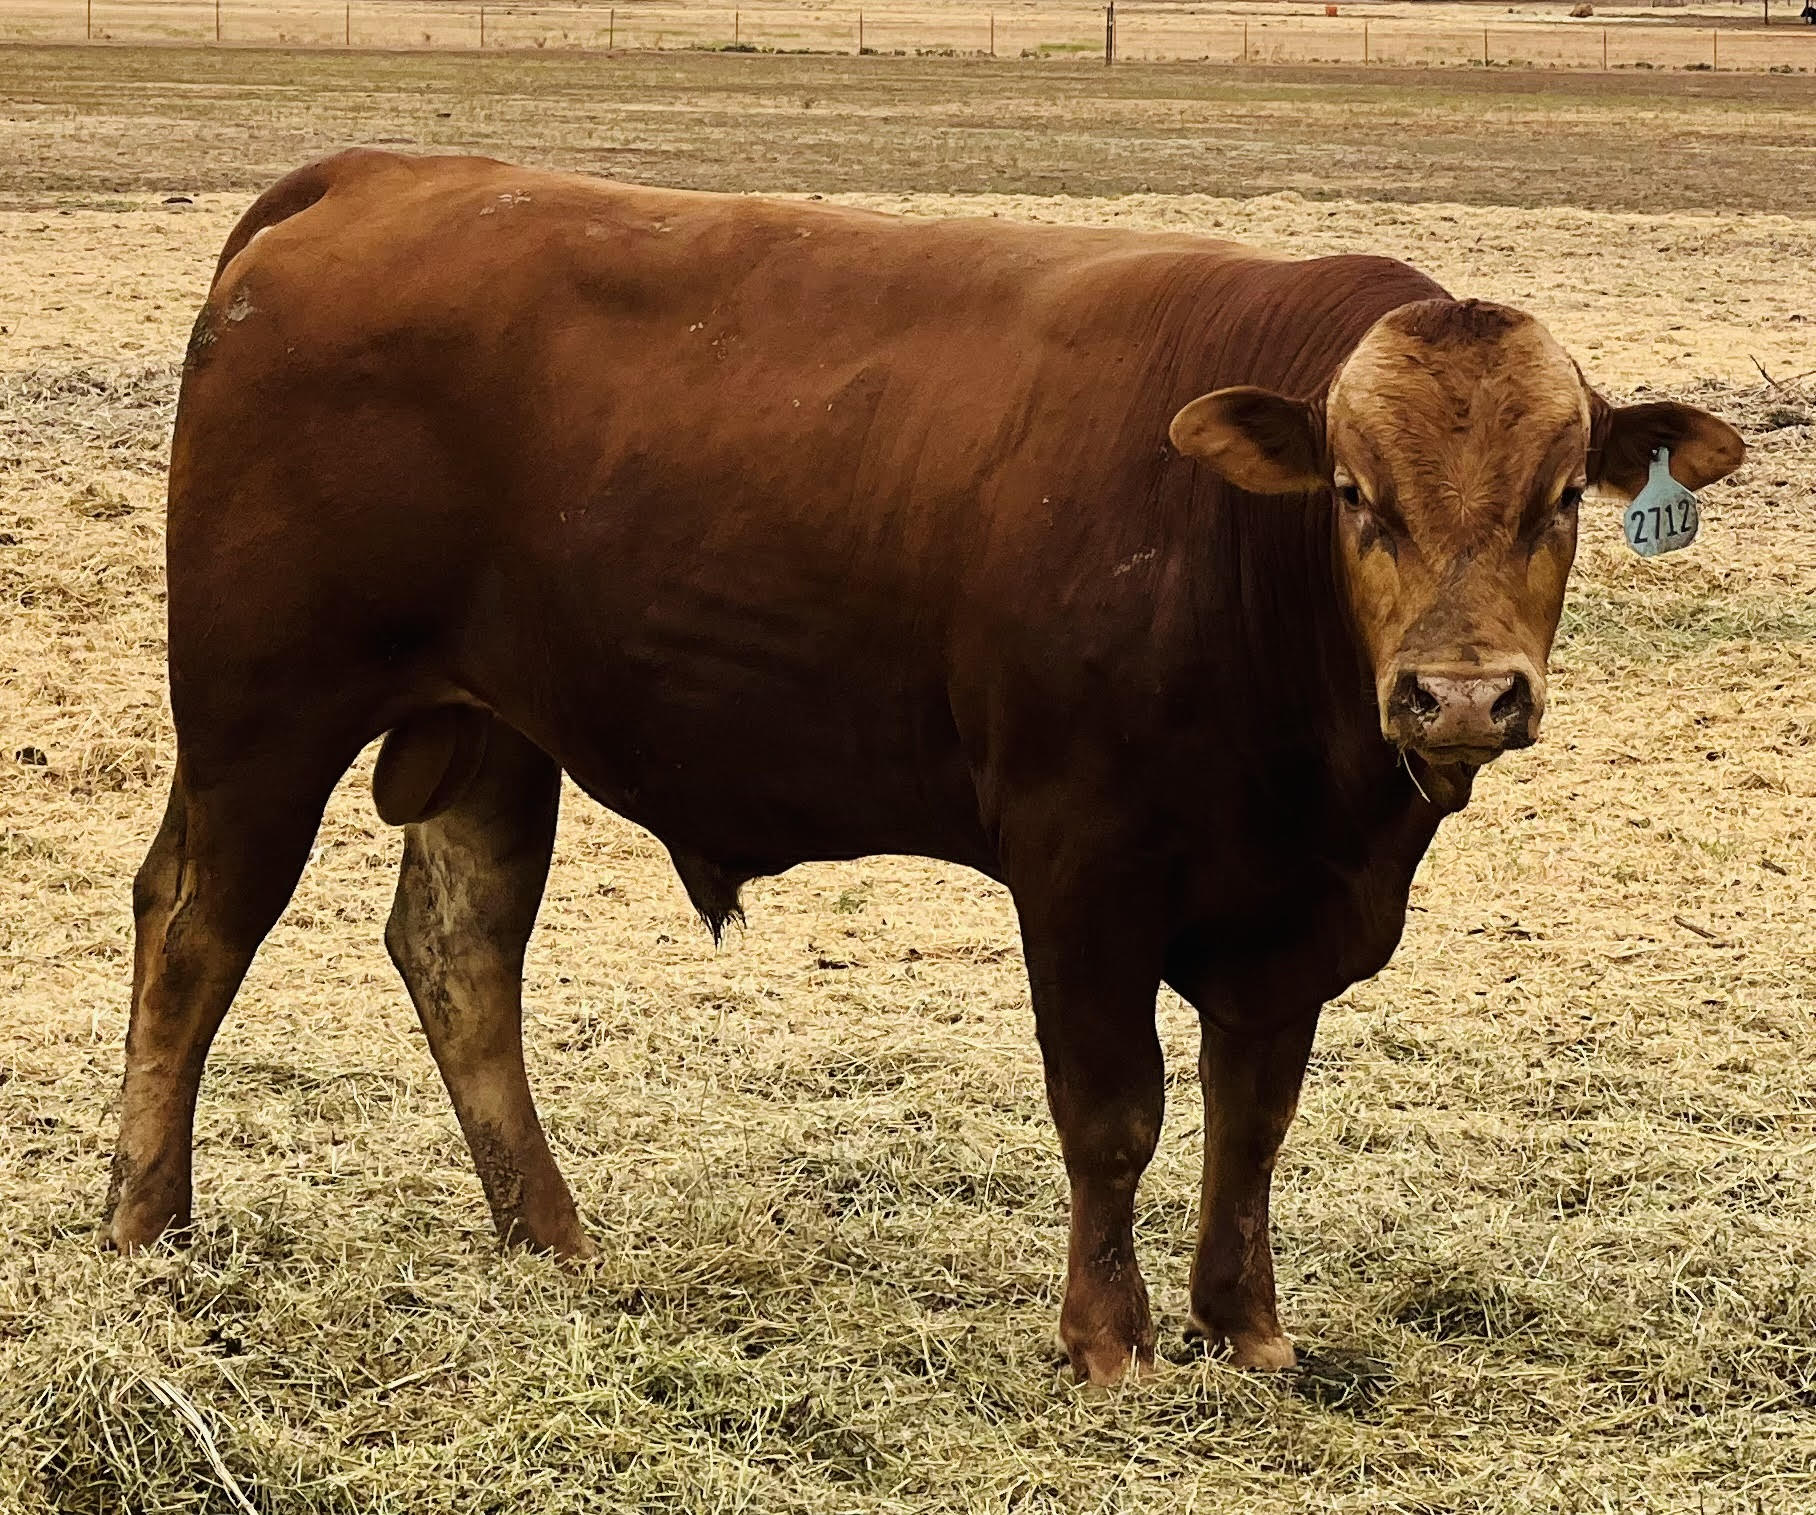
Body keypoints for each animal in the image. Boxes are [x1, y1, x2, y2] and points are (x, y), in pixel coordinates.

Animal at [103, 153, 1743, 1380]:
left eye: (1559, 499)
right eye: (1354, 493)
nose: (1458, 695)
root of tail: (384, 175)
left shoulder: (1291, 912)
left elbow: (1255, 1116)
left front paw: (1248, 1330)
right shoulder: (1082, 871)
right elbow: (1116, 1111)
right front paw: (1110, 1343)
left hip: (493, 730)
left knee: (457, 949)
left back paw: (550, 1235)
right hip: (263, 712)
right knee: (193, 928)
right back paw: (146, 1226)